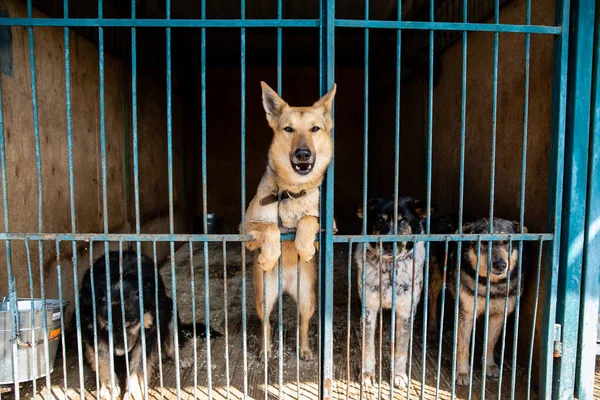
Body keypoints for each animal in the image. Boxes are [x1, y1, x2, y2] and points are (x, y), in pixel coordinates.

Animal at [78, 252, 220, 398]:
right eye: (107, 324)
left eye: (131, 324)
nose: (119, 353)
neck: (120, 275)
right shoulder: (91, 327)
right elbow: (102, 360)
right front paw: (109, 388)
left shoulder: (149, 330)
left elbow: (139, 365)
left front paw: (133, 393)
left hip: (170, 308)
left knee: (171, 344)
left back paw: (179, 359)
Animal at [244, 81, 338, 362]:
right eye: (289, 129)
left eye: (315, 129)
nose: (303, 153)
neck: (293, 192)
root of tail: (286, 285)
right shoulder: (245, 232)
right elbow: (271, 227)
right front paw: (270, 254)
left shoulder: (331, 227)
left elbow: (309, 219)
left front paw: (303, 247)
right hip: (263, 296)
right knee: (266, 323)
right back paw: (265, 350)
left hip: (308, 299)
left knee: (303, 324)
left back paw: (305, 350)